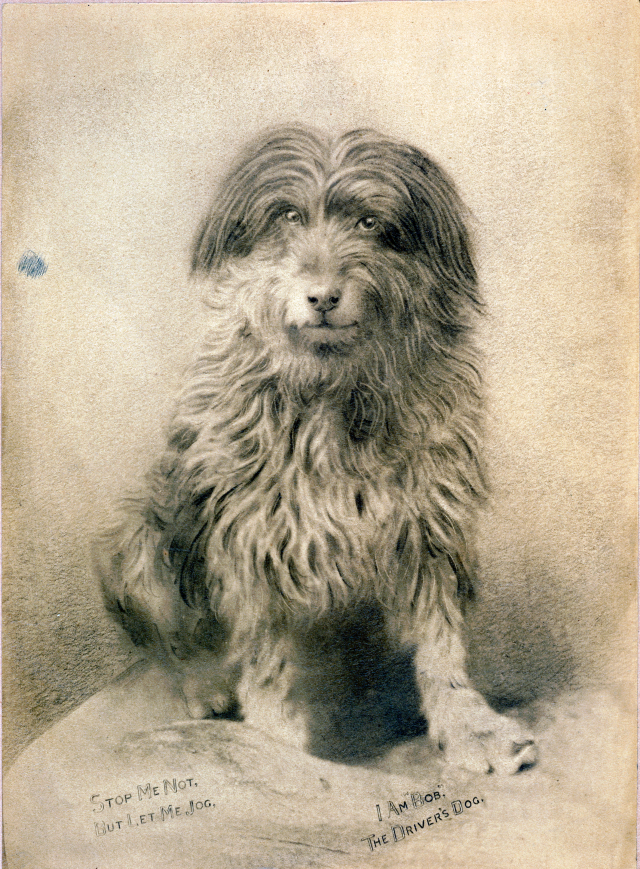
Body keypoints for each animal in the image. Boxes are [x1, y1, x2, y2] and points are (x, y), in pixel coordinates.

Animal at [100, 127, 536, 772]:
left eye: (371, 222)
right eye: (286, 216)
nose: (323, 297)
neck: (335, 392)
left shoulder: (427, 529)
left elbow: (440, 645)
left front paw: (470, 729)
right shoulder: (248, 537)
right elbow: (264, 656)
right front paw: (274, 747)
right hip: (140, 539)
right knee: (171, 640)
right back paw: (204, 684)